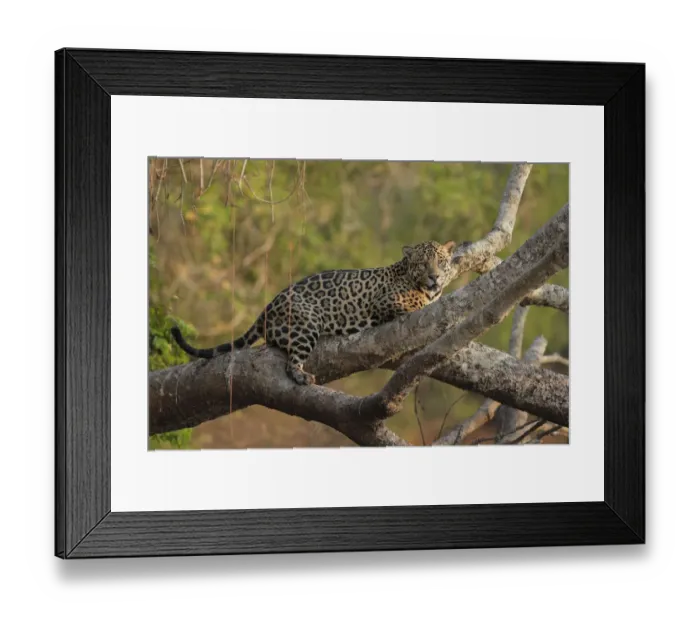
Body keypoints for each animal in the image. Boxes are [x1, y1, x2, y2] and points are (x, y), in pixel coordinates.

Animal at [171, 240, 457, 385]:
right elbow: (415, 303)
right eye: (422, 264)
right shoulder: (384, 300)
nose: (434, 276)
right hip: (306, 324)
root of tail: (266, 309)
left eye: (440, 261)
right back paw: (302, 376)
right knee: (291, 363)